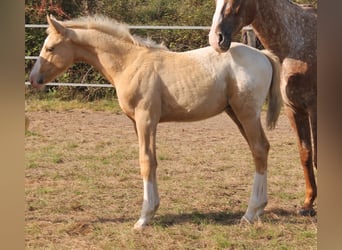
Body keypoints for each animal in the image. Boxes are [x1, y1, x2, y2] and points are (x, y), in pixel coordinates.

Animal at [29, 14, 282, 228]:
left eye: (50, 48)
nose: (33, 79)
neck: (129, 62)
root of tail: (263, 55)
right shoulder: (137, 122)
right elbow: (150, 160)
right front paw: (151, 211)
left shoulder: (146, 118)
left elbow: (146, 161)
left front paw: (144, 218)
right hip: (236, 113)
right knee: (262, 148)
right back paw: (259, 209)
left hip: (246, 113)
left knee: (259, 149)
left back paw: (250, 213)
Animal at [208, 0, 318, 216]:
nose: (217, 39)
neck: (297, 41)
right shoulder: (294, 110)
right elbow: (306, 154)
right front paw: (308, 203)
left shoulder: (316, 110)